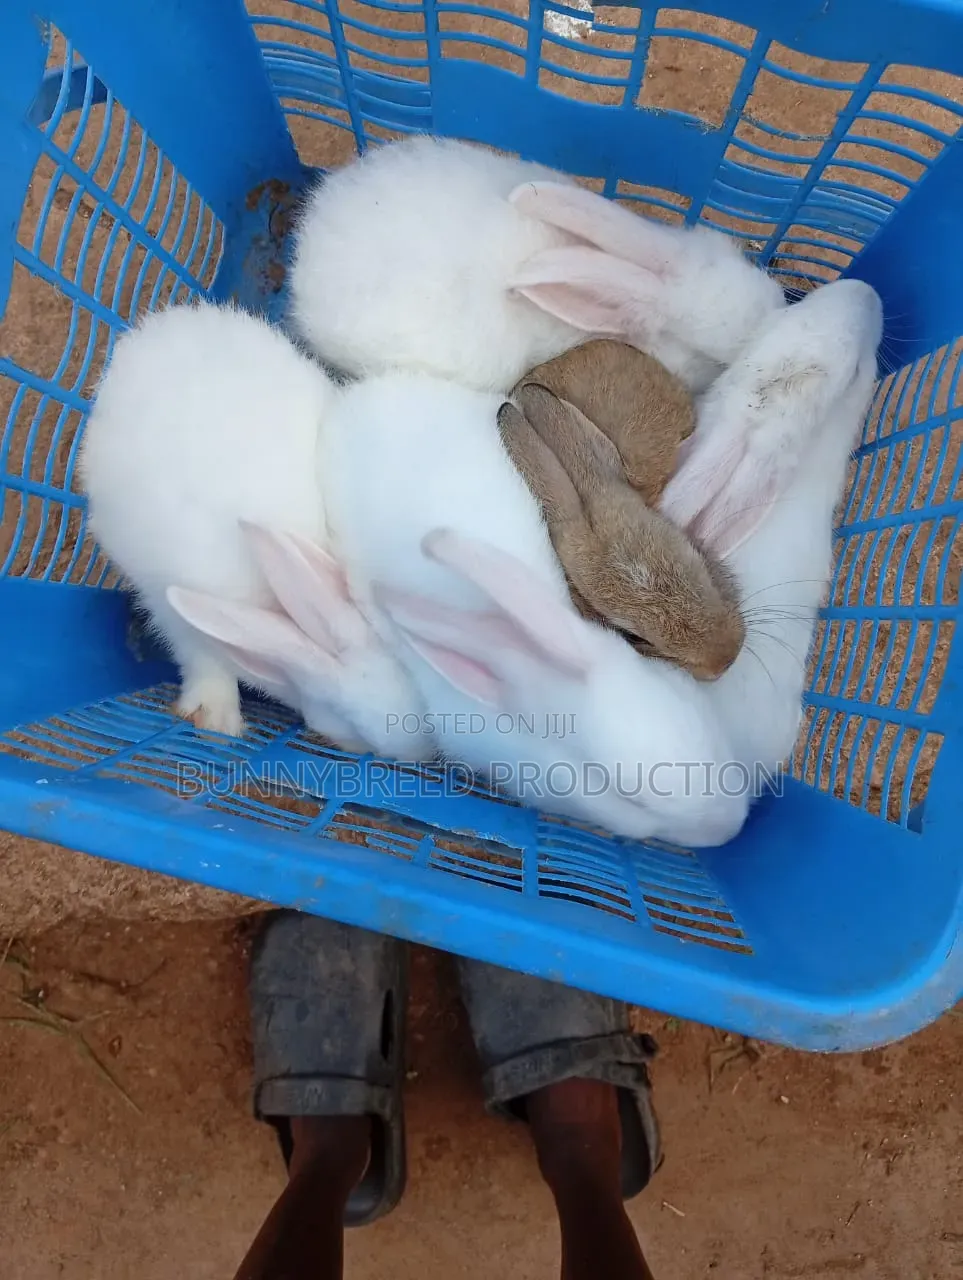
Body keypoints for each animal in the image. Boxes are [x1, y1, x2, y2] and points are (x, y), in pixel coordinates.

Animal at [80, 301, 432, 757]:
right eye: (352, 729)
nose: (425, 754)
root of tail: (151, 330)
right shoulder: (173, 610)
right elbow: (202, 660)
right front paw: (217, 720)